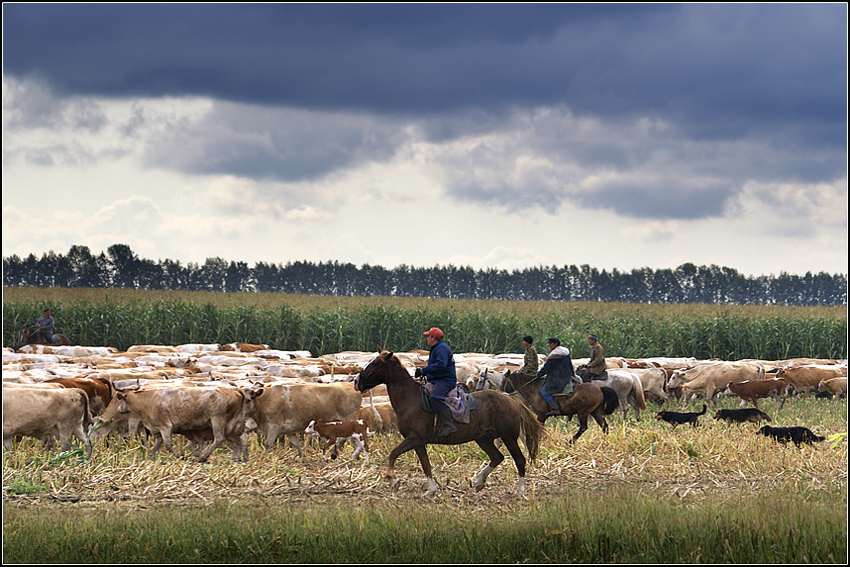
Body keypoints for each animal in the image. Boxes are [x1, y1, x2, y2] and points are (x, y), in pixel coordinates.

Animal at [352, 350, 544, 496]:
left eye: (375, 364)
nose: (356, 381)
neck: (411, 399)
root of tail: (510, 399)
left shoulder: (414, 438)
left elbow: (393, 454)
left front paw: (393, 480)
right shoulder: (418, 443)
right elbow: (426, 466)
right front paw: (431, 490)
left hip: (508, 437)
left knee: (519, 460)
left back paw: (519, 491)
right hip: (483, 438)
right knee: (497, 457)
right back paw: (479, 481)